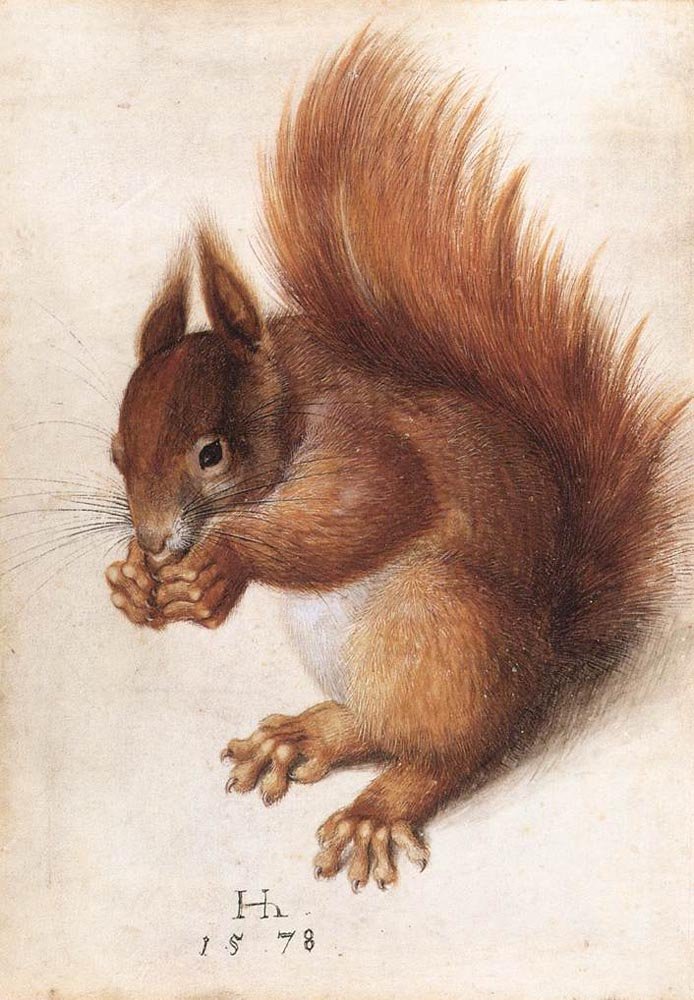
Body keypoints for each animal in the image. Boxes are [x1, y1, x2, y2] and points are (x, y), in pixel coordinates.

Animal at [105, 31, 688, 891]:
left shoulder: (372, 446)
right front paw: (131, 585)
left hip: (442, 635)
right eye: (116, 453)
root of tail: (544, 659)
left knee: (448, 752)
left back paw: (377, 810)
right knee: (376, 726)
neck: (295, 406)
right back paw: (300, 737)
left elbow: (365, 509)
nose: (152, 542)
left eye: (212, 454)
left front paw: (222, 566)